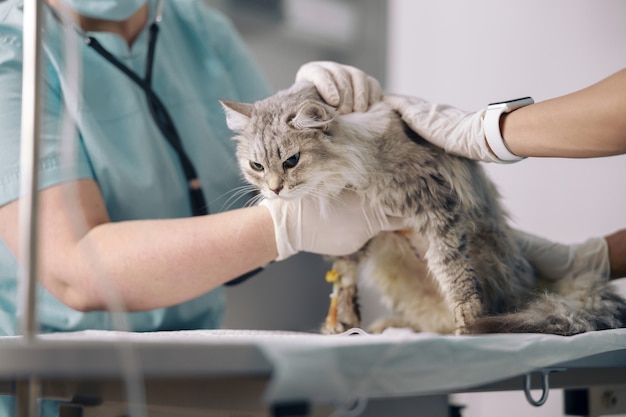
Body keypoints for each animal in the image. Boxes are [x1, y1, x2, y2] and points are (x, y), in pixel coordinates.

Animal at [222, 81, 624, 334]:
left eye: (291, 161)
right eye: (256, 166)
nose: (274, 190)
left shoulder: (435, 205)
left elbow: (454, 272)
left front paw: (468, 320)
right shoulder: (353, 237)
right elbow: (344, 277)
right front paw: (341, 321)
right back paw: (387, 327)